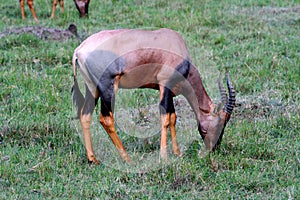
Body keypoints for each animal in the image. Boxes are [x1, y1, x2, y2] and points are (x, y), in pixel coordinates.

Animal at [71, 28, 236, 166]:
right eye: (221, 122)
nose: (214, 149)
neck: (177, 45)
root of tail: (79, 50)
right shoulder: (165, 84)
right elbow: (165, 118)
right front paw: (164, 157)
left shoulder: (169, 91)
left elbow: (172, 117)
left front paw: (177, 153)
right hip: (108, 87)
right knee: (106, 118)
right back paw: (127, 159)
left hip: (92, 89)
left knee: (85, 115)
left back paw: (93, 159)